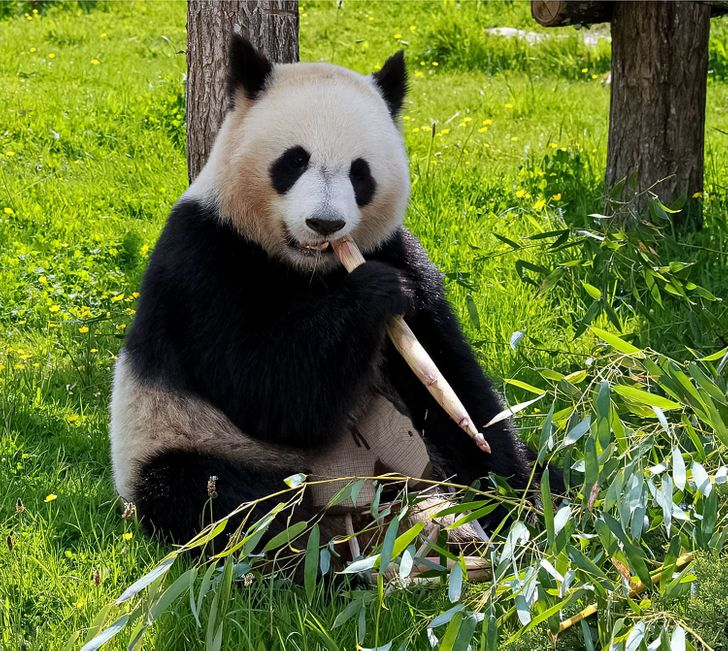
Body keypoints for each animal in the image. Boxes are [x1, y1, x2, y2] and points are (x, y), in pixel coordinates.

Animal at [110, 35, 557, 550]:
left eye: (360, 173)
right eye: (294, 160)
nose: (325, 223)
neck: (310, 269)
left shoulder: (396, 249)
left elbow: (451, 379)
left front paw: (513, 497)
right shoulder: (204, 258)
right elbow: (266, 391)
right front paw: (376, 292)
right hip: (184, 438)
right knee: (217, 500)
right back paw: (318, 547)